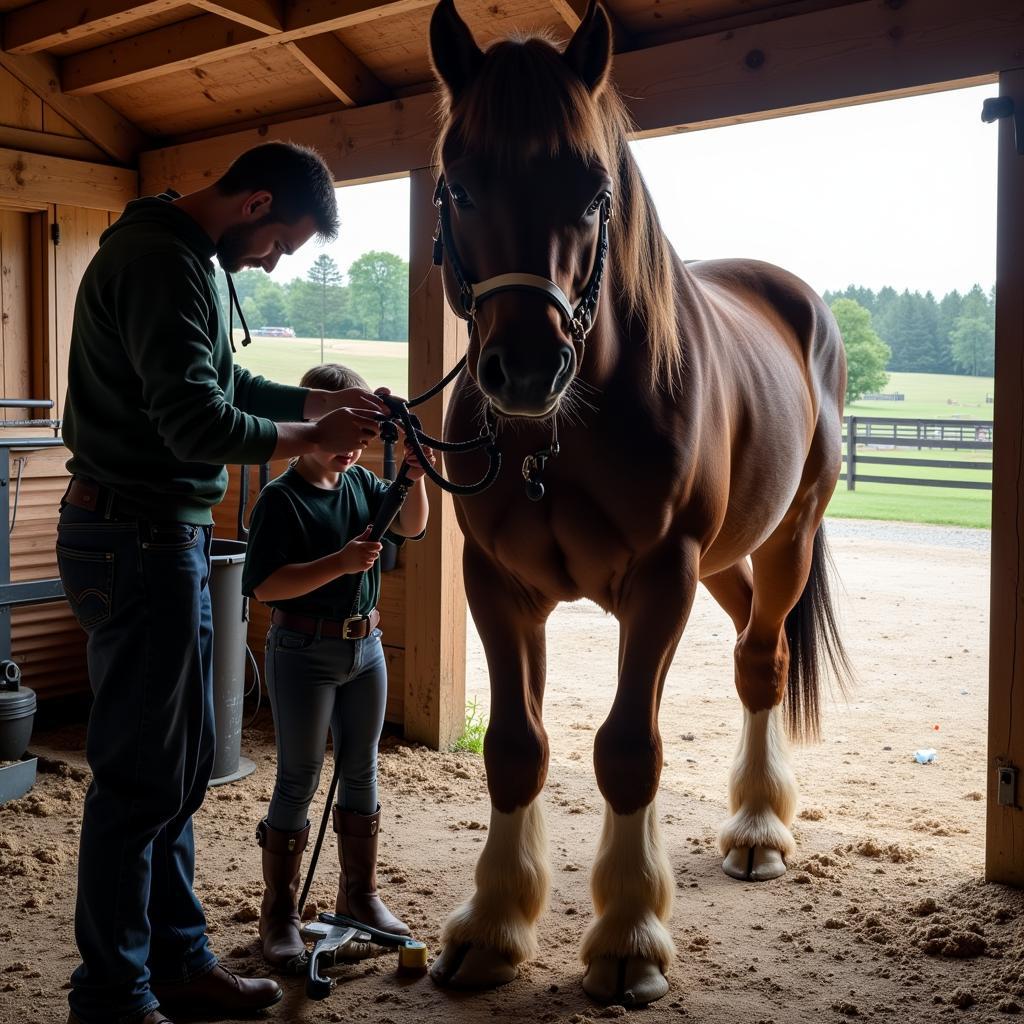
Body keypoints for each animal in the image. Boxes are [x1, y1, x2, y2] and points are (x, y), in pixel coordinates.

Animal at [423, 0, 847, 1007]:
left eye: (592, 190)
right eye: (459, 185)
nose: (526, 369)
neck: (557, 436)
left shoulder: (661, 581)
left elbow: (626, 750)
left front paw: (627, 937)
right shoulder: (498, 584)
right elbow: (517, 746)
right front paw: (492, 926)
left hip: (785, 541)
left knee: (764, 663)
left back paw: (759, 829)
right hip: (726, 563)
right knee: (748, 649)